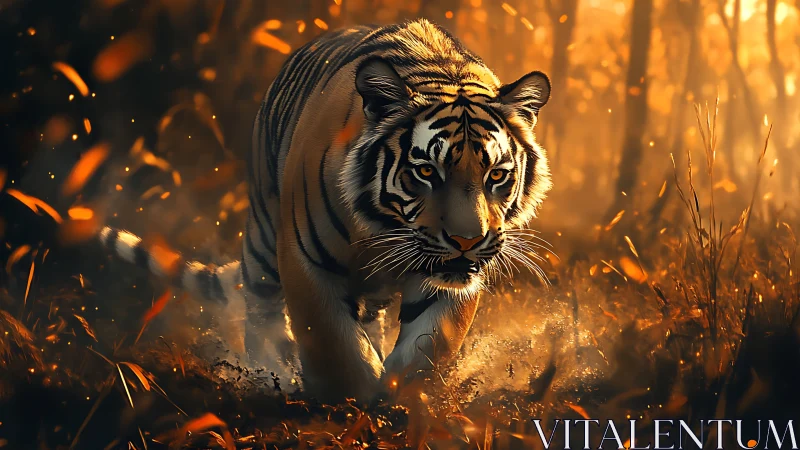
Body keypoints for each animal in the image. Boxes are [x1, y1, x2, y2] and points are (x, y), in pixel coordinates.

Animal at [99, 19, 552, 403]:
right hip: (263, 237)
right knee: (262, 313)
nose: (467, 241)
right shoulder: (305, 262)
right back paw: (271, 373)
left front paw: (403, 399)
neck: (384, 229)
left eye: (496, 175)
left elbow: (429, 346)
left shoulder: (448, 281)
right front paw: (349, 403)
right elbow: (334, 345)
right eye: (426, 171)